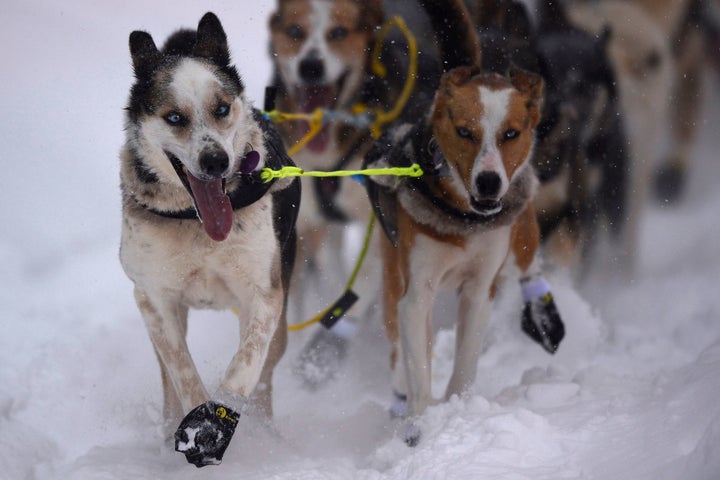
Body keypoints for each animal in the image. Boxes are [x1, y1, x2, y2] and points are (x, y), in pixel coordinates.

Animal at [119, 13, 300, 466]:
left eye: (221, 109)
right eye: (174, 118)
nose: (216, 160)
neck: (196, 223)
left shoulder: (264, 296)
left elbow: (245, 365)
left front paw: (217, 422)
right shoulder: (154, 299)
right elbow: (181, 370)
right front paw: (195, 420)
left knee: (265, 374)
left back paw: (269, 436)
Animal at [362, 0, 548, 446]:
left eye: (510, 134)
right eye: (465, 132)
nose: (489, 181)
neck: (463, 219)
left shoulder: (480, 288)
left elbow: (465, 362)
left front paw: (459, 407)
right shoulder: (417, 289)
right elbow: (418, 365)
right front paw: (419, 425)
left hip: (521, 227)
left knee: (529, 255)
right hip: (392, 271)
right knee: (400, 337)